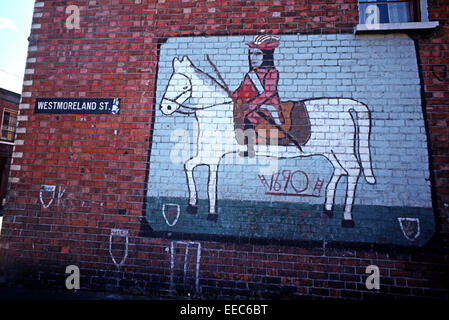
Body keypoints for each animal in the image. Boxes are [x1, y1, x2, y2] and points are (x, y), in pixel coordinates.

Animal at [158, 57, 374, 228]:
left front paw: (211, 213)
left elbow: (210, 183)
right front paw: (192, 205)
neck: (215, 111)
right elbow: (189, 167)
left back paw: (347, 218)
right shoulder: (206, 156)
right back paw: (328, 209)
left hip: (342, 151)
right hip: (331, 152)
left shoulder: (212, 157)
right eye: (170, 82)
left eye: (184, 86)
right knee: (340, 170)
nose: (165, 107)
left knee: (354, 171)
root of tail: (345, 105)